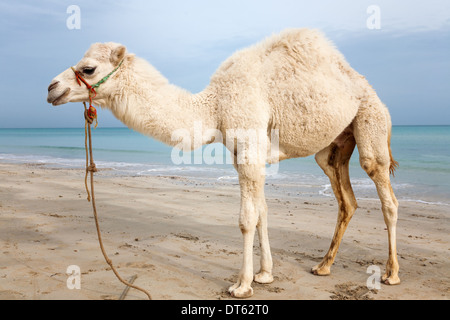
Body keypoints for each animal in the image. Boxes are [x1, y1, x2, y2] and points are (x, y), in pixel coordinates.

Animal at [47, 28, 400, 298]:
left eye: (88, 68)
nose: (52, 88)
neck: (213, 106)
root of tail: (365, 85)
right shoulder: (247, 153)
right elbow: (262, 214)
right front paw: (265, 274)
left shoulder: (249, 148)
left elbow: (246, 219)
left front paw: (242, 284)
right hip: (333, 146)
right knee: (345, 198)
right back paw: (323, 266)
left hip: (371, 120)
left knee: (384, 190)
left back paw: (391, 274)